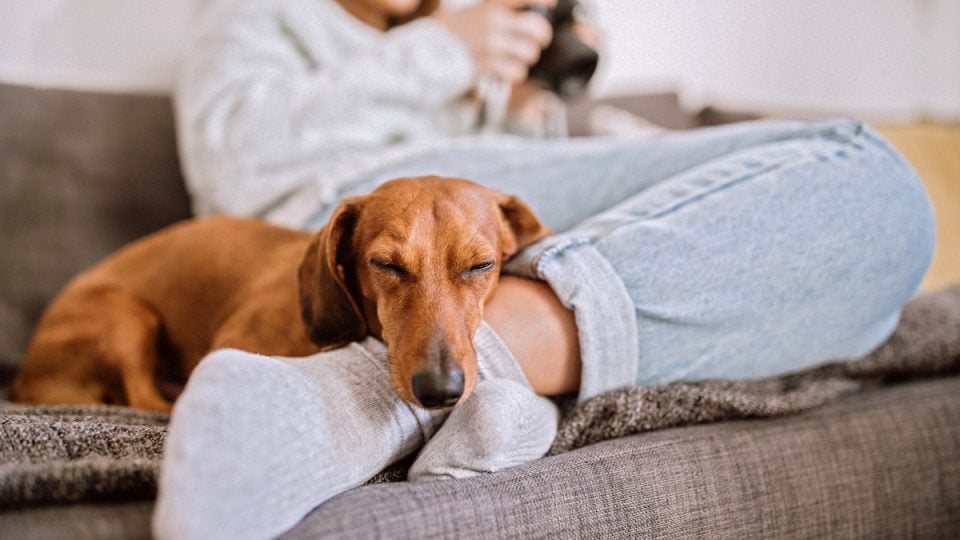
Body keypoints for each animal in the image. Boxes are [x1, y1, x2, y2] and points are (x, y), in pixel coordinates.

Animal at [11, 177, 548, 410]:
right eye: (386, 265)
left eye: (482, 265)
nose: (441, 391)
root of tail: (24, 379)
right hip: (126, 316)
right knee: (145, 400)